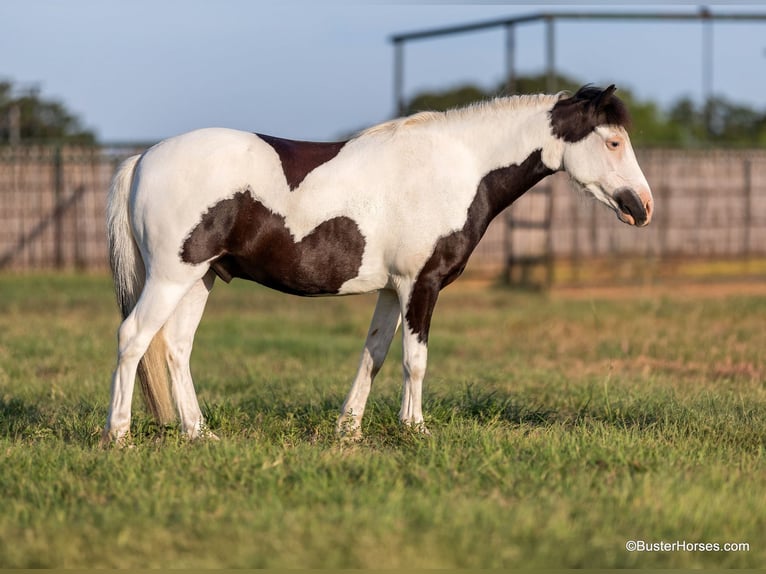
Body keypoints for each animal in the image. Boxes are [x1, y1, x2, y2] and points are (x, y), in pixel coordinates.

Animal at [102, 86, 656, 446]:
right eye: (612, 142)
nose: (643, 207)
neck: (456, 166)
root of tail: (142, 158)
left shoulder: (392, 290)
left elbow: (375, 355)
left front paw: (348, 431)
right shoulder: (420, 285)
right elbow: (415, 361)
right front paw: (416, 430)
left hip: (201, 279)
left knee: (176, 348)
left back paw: (199, 433)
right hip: (172, 277)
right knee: (133, 338)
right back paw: (119, 435)